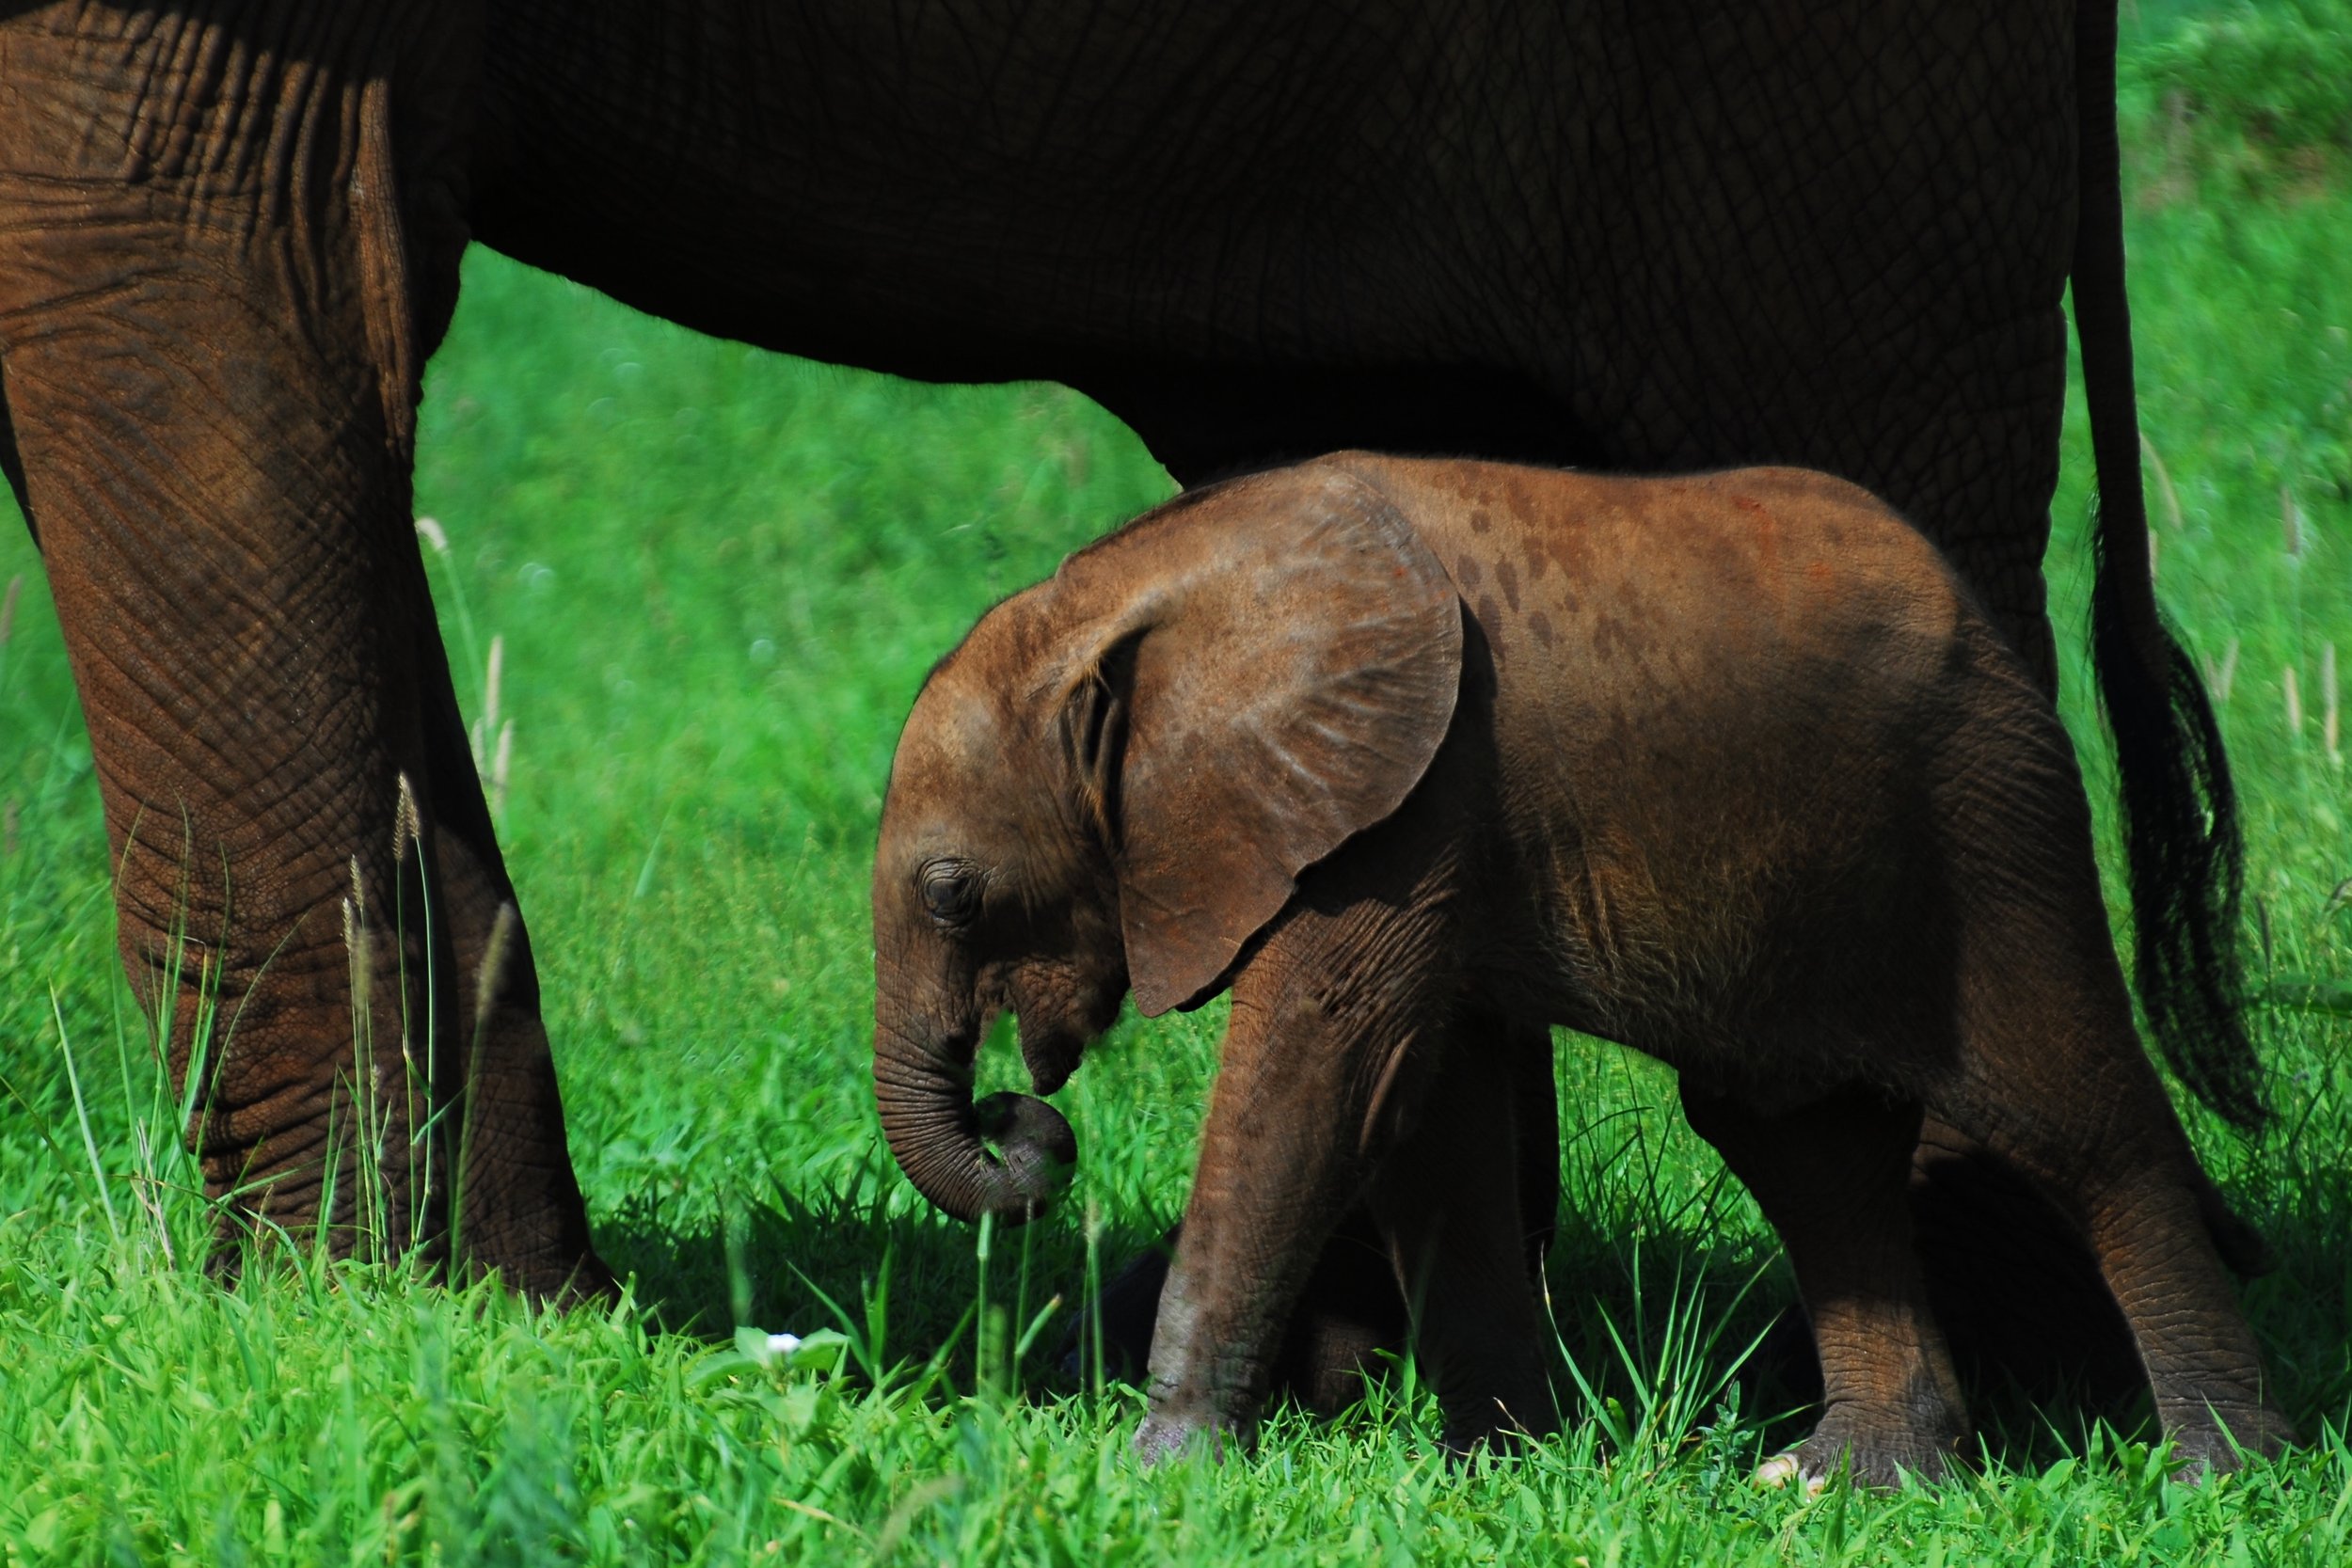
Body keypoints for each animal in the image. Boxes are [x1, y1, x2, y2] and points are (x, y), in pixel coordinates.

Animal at [0, 0, 2239, 1382]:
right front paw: (508, 1322)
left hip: (1812, 114)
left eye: (971, 901)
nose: (1028, 1113)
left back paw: (2026, 1381)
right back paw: (1367, 1371)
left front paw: (349, 1326)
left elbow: (188, 284)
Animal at [866, 451, 2277, 1485]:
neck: (1120, 595)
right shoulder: (1418, 820)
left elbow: (1314, 1082)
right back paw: (1842, 1482)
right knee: (1808, 1151)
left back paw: (2219, 1473)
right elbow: (1424, 1112)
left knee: (2076, 1123)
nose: (1021, 1118)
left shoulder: (1402, 803)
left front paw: (1162, 1469)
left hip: (1988, 821)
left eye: (953, 891)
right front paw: (1500, 1464)